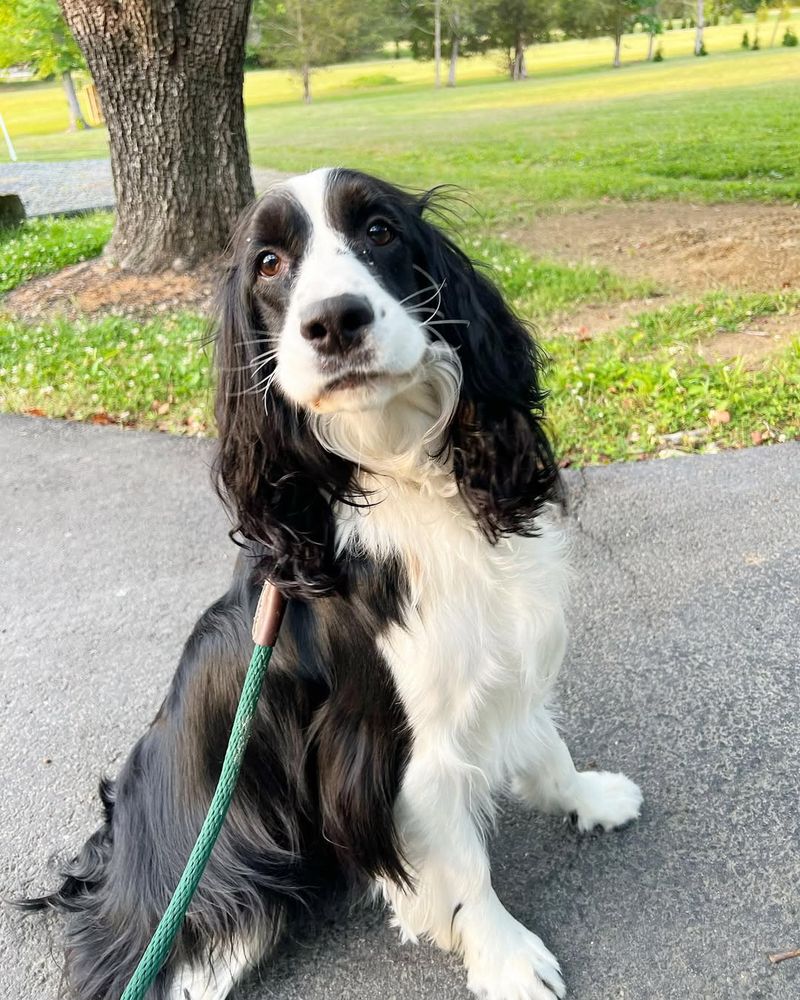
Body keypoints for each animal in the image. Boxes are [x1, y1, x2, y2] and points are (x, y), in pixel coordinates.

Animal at [25, 168, 644, 996]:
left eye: (379, 230)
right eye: (268, 264)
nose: (334, 321)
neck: (403, 476)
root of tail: (112, 860)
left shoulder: (499, 655)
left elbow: (544, 746)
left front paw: (591, 797)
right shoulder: (391, 751)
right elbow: (466, 870)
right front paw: (507, 958)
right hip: (230, 893)